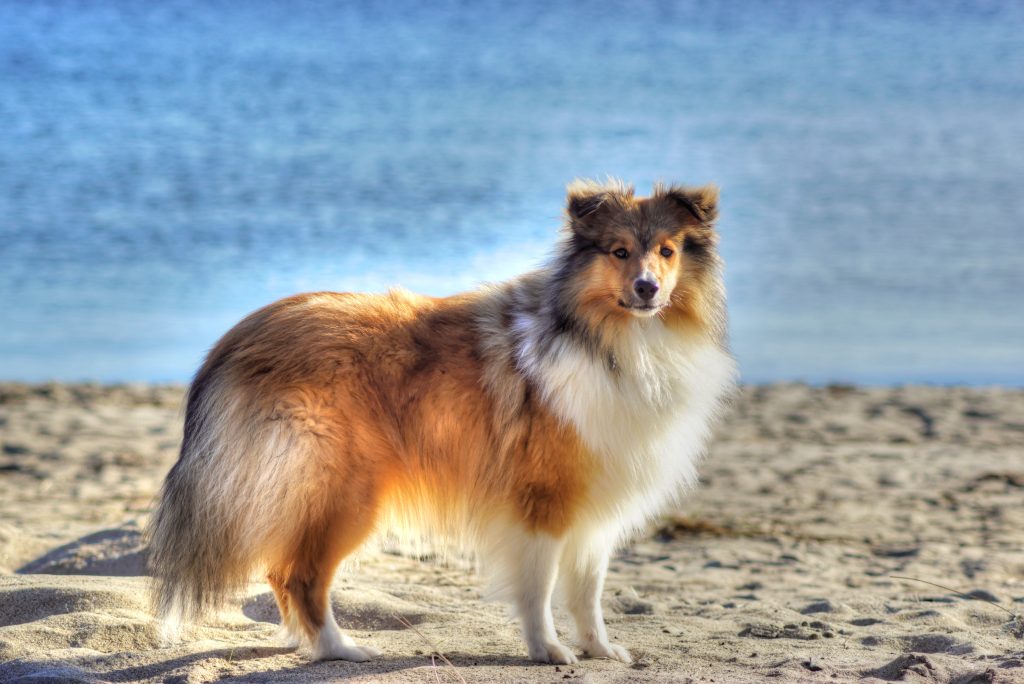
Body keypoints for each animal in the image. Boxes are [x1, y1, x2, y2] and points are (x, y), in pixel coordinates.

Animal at [144, 176, 737, 663]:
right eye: (619, 251)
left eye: (667, 251)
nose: (647, 288)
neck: (612, 341)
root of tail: (237, 337)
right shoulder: (541, 501)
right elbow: (539, 587)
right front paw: (547, 651)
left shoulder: (596, 506)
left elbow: (587, 591)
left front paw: (600, 650)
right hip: (345, 492)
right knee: (298, 575)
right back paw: (341, 649)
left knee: (279, 569)